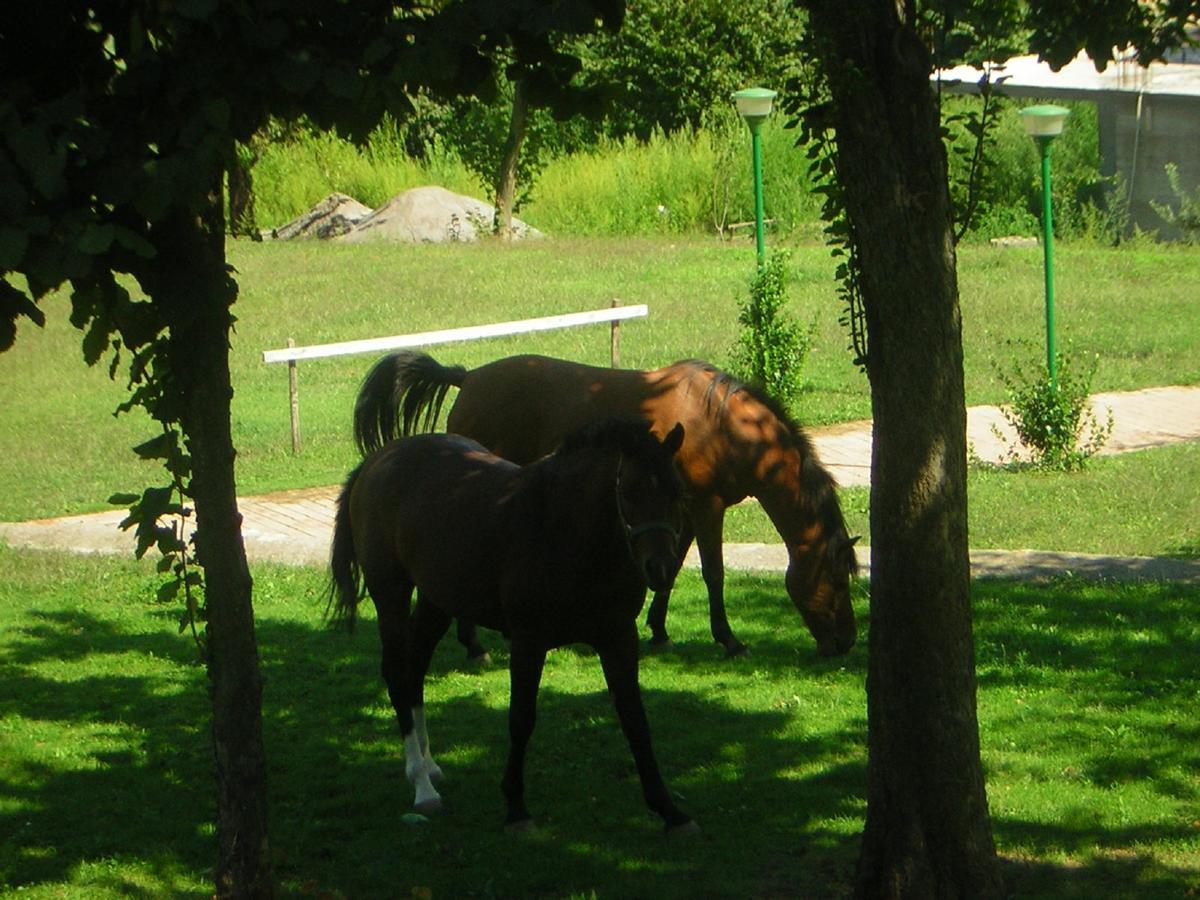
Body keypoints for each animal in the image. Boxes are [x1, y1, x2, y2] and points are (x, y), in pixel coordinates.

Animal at [333, 420, 700, 835]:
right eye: (628, 491)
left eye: (677, 491)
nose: (661, 568)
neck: (564, 530)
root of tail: (377, 461)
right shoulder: (528, 641)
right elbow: (521, 718)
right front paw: (516, 807)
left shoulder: (618, 637)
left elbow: (635, 720)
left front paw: (669, 810)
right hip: (391, 594)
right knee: (398, 675)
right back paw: (421, 785)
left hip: (436, 601)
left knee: (415, 670)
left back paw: (429, 764)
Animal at [350, 355, 859, 662]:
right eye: (836, 579)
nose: (846, 643)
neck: (723, 425)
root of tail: (469, 377)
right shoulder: (707, 507)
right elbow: (712, 573)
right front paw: (728, 639)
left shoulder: (676, 509)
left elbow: (672, 567)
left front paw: (658, 630)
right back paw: (474, 645)